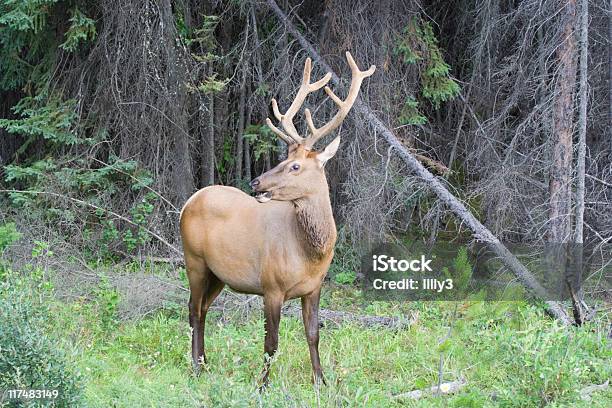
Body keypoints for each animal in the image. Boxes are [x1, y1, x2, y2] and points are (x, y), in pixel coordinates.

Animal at [179, 52, 376, 388]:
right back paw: (195, 367)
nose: (257, 181)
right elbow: (271, 342)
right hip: (194, 260)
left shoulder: (314, 287)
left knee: (203, 308)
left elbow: (313, 334)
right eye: (284, 158)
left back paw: (205, 363)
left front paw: (321, 382)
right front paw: (262, 385)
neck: (311, 254)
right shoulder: (271, 286)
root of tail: (188, 203)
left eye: (295, 166)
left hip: (219, 273)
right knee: (193, 309)